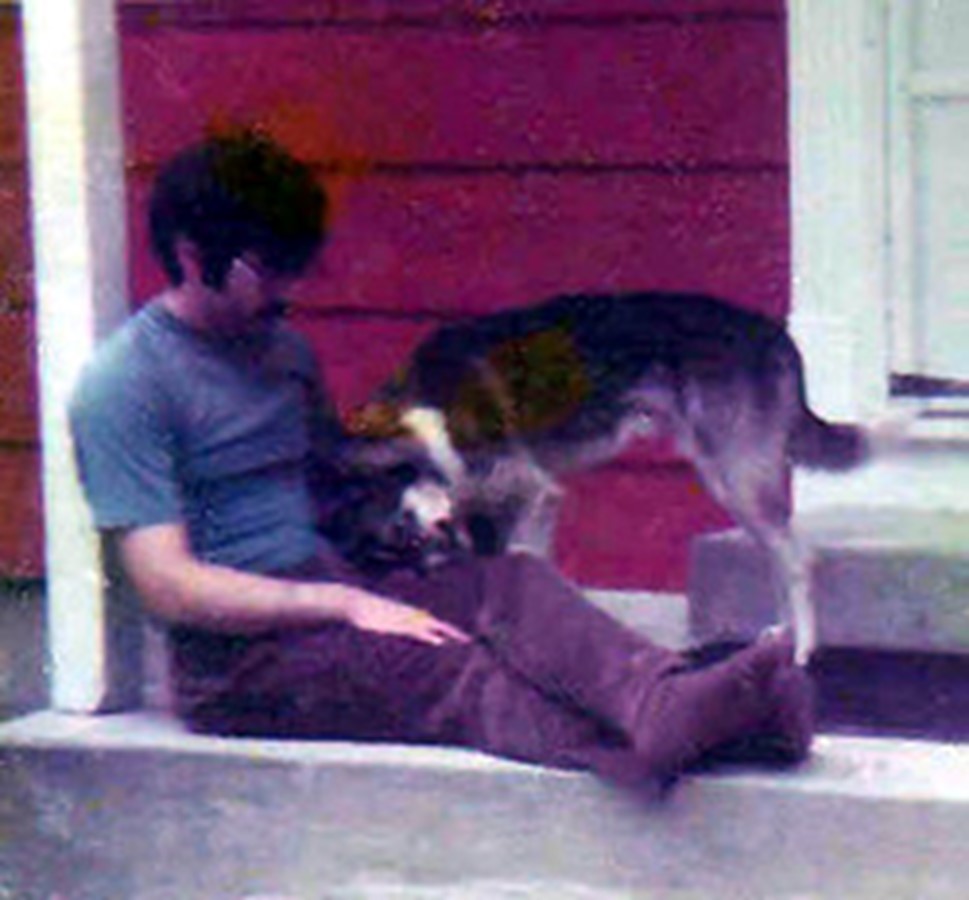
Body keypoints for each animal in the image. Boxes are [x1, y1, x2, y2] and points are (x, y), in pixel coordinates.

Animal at [328, 292, 868, 664]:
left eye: (404, 536)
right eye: (386, 555)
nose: (423, 580)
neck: (419, 418)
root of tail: (778, 337)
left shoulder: (530, 491)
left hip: (739, 477)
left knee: (798, 560)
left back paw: (802, 653)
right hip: (731, 479)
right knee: (779, 556)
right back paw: (780, 637)